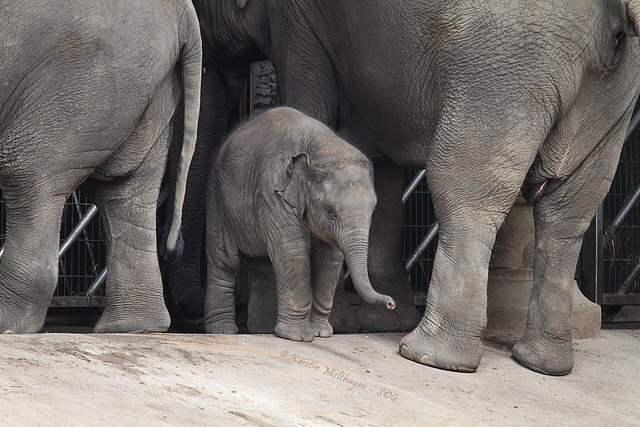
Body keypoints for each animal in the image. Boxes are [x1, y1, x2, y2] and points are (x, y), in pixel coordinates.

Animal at [0, 0, 200, 334]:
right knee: (124, 191)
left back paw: (9, 325)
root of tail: (184, 11)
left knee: (26, 174)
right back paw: (133, 327)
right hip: (144, 83)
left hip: (79, 73)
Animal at [205, 108, 396, 344]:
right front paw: (299, 337)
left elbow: (330, 258)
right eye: (330, 211)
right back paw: (223, 331)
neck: (324, 147)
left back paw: (264, 329)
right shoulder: (272, 193)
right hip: (217, 200)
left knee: (263, 264)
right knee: (226, 261)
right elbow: (292, 249)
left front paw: (322, 333)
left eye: (372, 211)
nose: (391, 303)